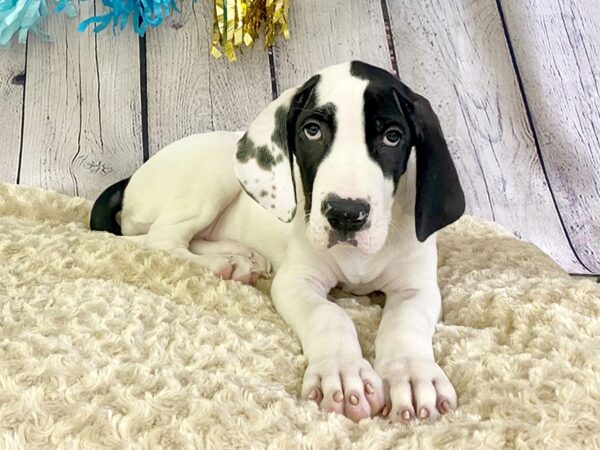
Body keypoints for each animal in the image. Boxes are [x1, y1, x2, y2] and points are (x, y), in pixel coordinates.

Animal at [90, 61, 464, 424]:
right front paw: (343, 374)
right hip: (212, 177)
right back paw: (224, 263)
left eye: (392, 136)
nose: (345, 214)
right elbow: (328, 315)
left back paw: (240, 256)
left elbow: (405, 323)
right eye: (312, 130)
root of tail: (135, 176)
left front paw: (413, 375)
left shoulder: (416, 287)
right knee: (158, 239)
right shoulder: (296, 281)